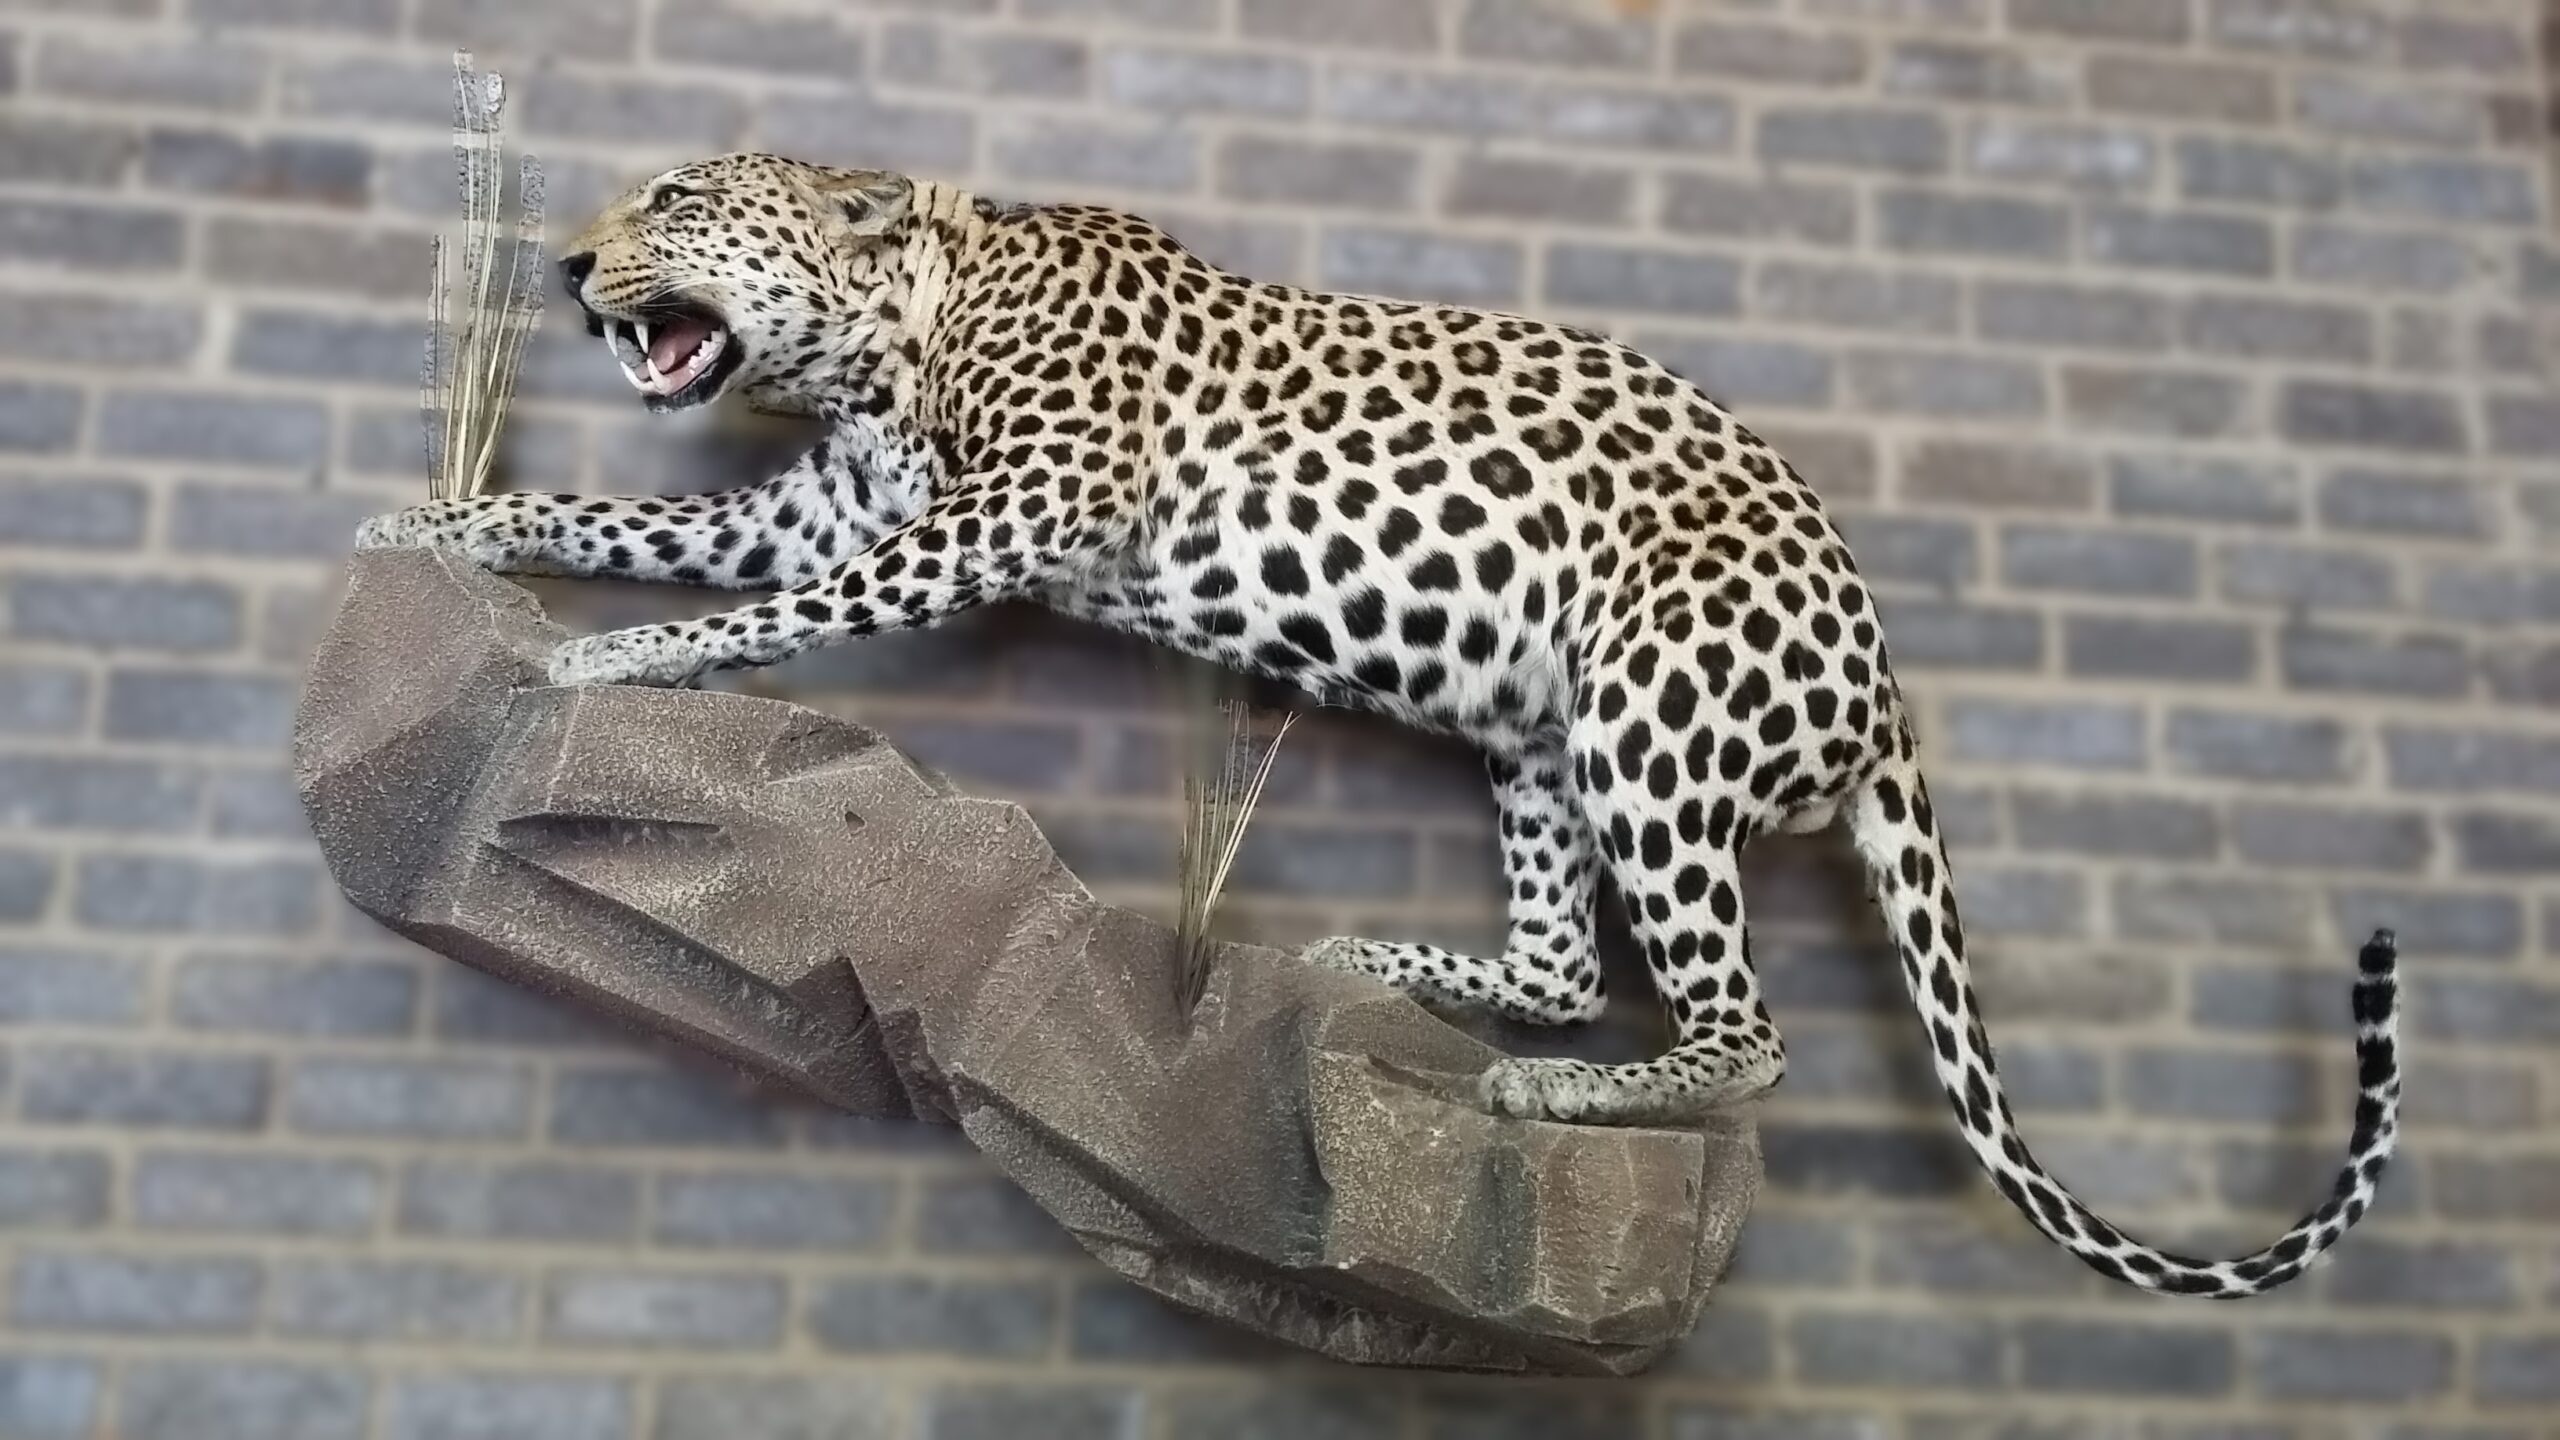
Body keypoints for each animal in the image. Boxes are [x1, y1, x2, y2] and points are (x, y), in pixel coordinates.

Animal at [358, 152, 2401, 1297]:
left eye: (675, 203)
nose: (560, 268)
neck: (898, 344)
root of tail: (1886, 672)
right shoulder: (823, 509)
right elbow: (608, 522)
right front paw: (432, 532)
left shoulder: (977, 527)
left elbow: (761, 618)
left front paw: (607, 670)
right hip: (1539, 741)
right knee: (1571, 958)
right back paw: (1378, 968)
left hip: (1653, 711)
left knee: (1742, 1034)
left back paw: (1551, 1096)